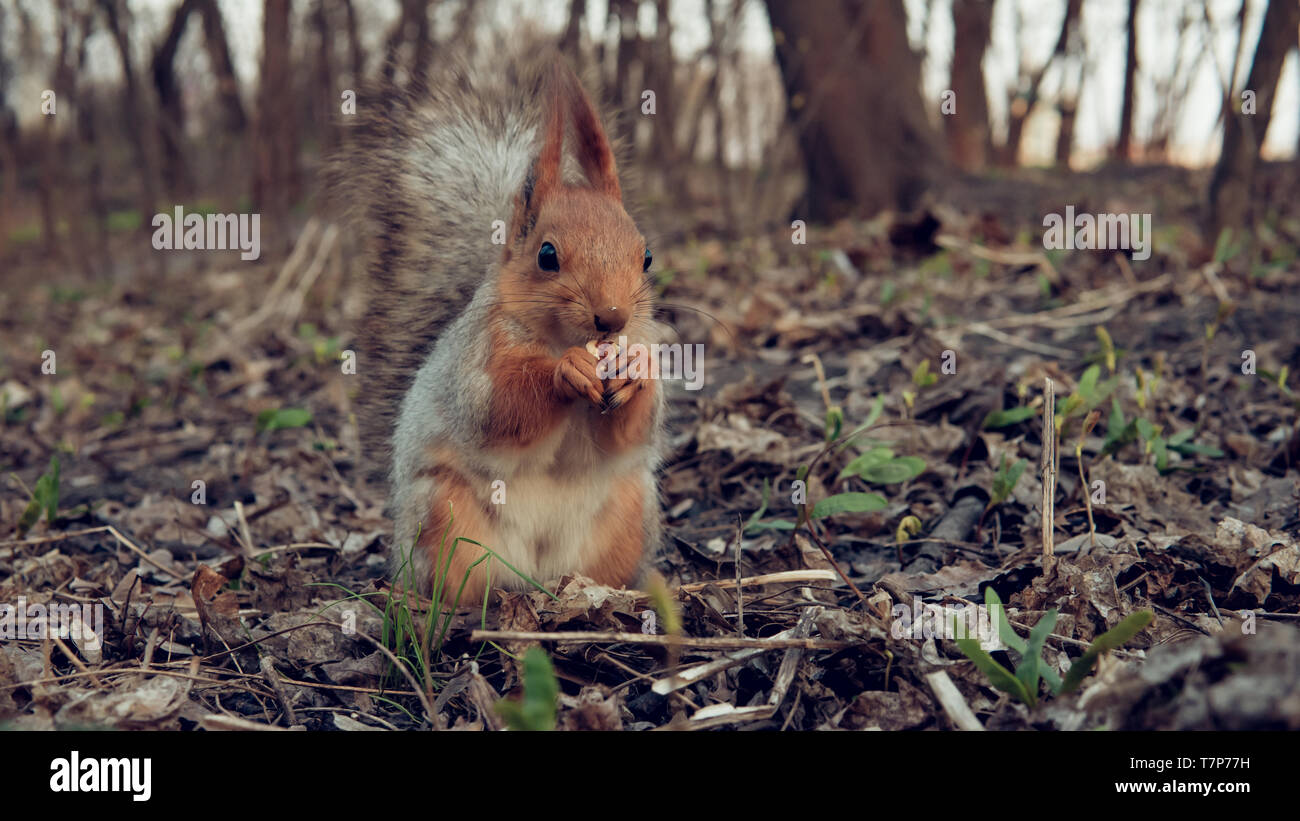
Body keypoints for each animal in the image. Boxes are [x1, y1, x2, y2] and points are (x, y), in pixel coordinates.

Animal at [330, 52, 665, 602]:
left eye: (647, 257)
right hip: (445, 518)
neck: (562, 338)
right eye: (547, 256)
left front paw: (635, 371)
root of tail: (539, 574)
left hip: (627, 515)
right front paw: (566, 371)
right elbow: (497, 409)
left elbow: (634, 430)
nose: (612, 317)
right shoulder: (477, 359)